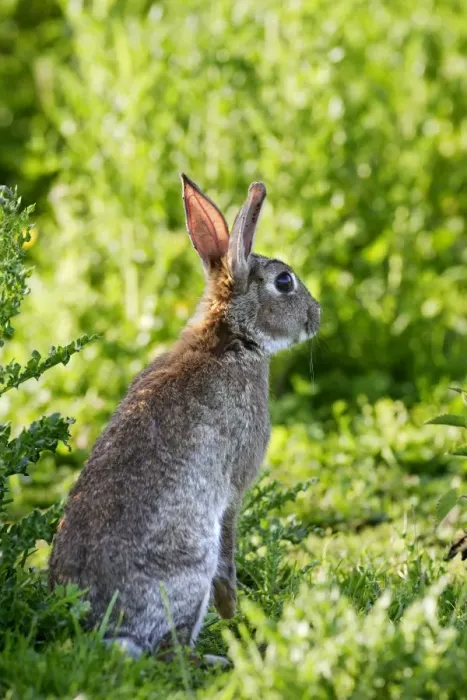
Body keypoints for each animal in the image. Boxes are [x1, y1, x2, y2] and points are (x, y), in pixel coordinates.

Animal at [48, 175, 321, 660]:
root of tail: (98, 629)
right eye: (284, 281)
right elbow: (230, 550)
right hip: (191, 564)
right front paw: (234, 612)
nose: (317, 315)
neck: (232, 338)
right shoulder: (234, 487)